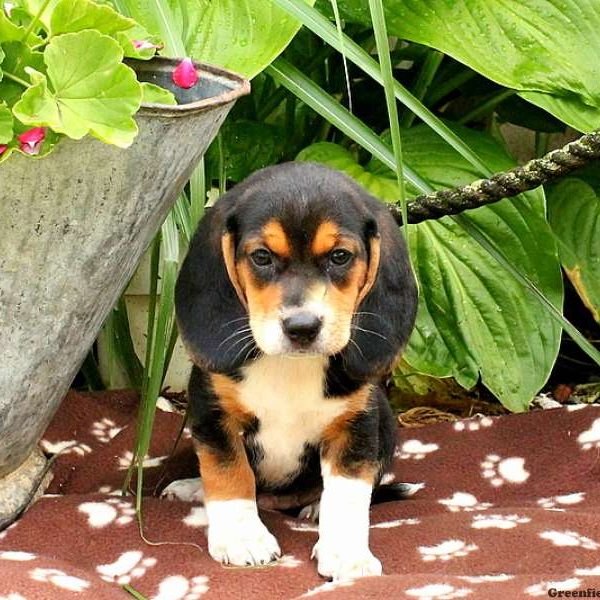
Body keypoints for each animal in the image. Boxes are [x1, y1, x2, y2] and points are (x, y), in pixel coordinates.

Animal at [173, 161, 418, 580]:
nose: (302, 327)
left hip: (384, 420)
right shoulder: (213, 413)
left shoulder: (356, 425)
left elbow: (347, 493)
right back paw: (193, 487)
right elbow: (229, 474)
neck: (290, 366)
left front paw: (347, 553)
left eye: (340, 256)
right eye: (261, 257)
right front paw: (243, 539)